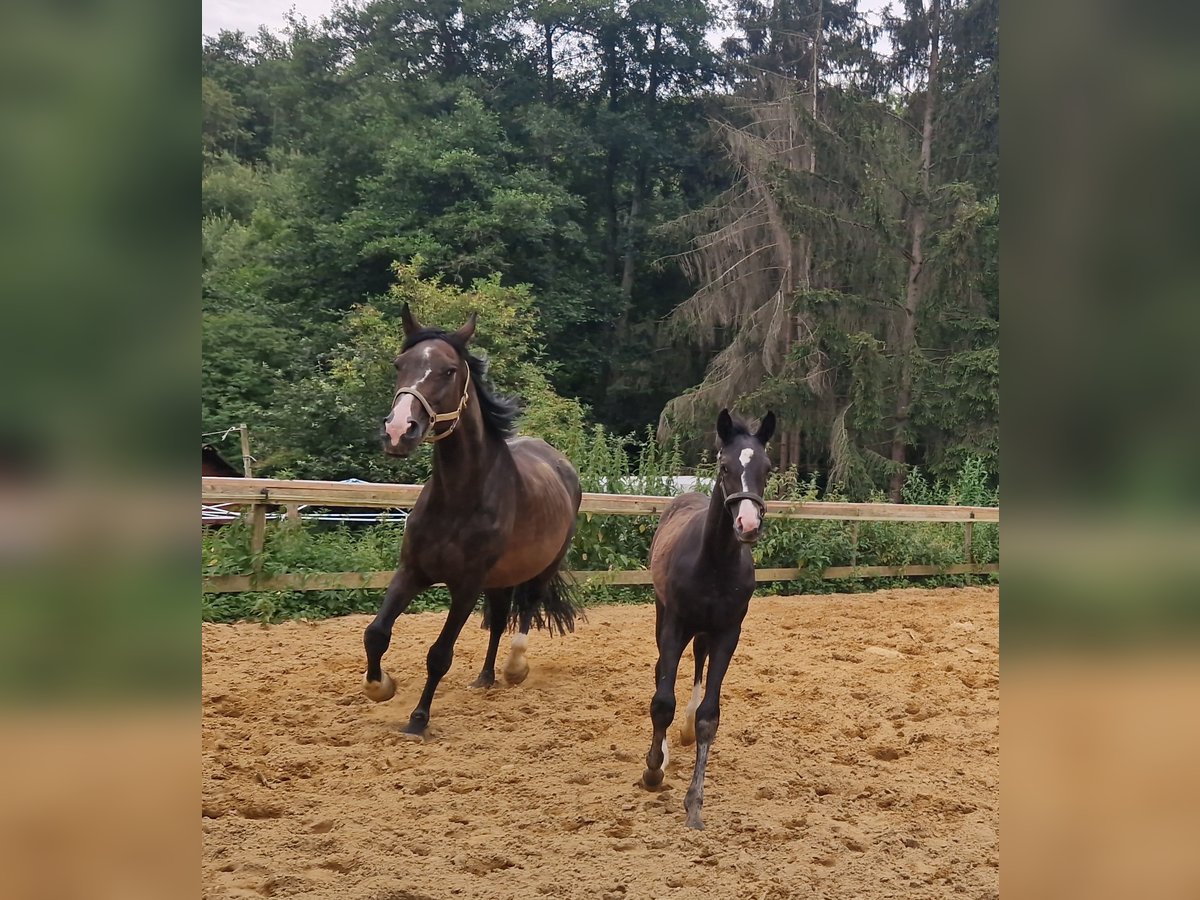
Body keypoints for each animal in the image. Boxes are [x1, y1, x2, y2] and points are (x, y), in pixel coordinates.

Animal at [360, 309, 580, 739]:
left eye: (448, 370)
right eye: (400, 365)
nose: (397, 431)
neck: (459, 500)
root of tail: (560, 463)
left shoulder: (465, 586)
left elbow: (439, 654)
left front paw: (418, 720)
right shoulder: (412, 571)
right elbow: (376, 633)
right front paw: (380, 687)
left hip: (542, 567)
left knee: (525, 610)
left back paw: (514, 669)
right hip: (499, 579)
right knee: (498, 620)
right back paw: (485, 678)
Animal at [638, 408, 777, 830]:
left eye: (767, 468)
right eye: (724, 465)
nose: (748, 525)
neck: (713, 564)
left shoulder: (728, 632)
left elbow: (708, 718)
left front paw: (695, 805)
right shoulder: (674, 624)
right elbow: (661, 700)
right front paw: (653, 769)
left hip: (704, 633)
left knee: (698, 664)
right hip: (664, 615)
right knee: (661, 672)